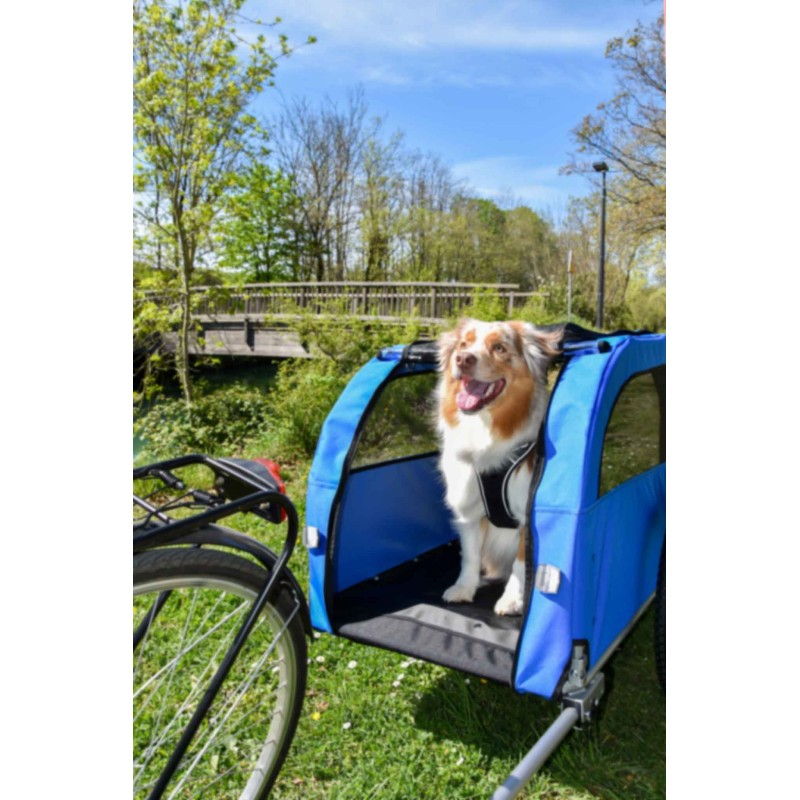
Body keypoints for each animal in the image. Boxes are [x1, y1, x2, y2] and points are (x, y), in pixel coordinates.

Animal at [436, 318, 561, 615]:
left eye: (499, 348)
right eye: (464, 344)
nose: (463, 359)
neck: (486, 428)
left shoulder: (526, 515)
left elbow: (521, 563)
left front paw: (512, 600)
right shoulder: (468, 509)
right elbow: (470, 555)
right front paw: (464, 589)